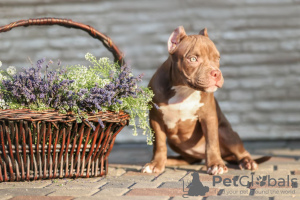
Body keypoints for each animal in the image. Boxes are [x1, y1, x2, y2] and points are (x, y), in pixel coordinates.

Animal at [142, 26, 258, 175]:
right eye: (193, 59)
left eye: (217, 58)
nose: (216, 73)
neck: (183, 90)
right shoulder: (155, 119)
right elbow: (159, 144)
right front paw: (155, 164)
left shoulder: (208, 117)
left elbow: (212, 142)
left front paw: (216, 164)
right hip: (175, 142)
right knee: (190, 159)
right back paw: (170, 160)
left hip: (225, 132)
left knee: (240, 151)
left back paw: (247, 162)